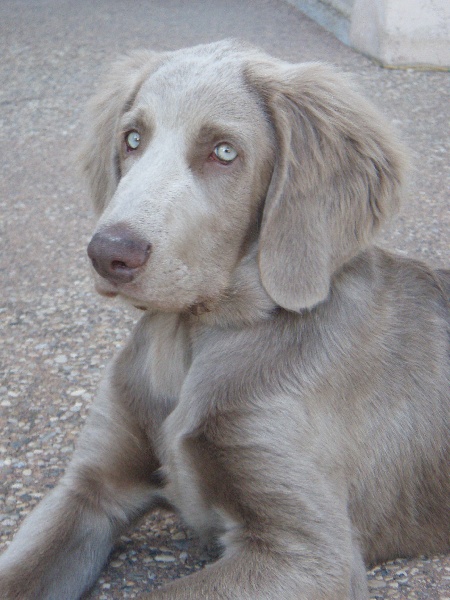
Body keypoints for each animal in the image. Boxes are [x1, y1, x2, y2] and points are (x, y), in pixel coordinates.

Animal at [0, 38, 448, 600]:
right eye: (132, 139)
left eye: (224, 152)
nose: (107, 253)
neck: (192, 339)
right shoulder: (89, 486)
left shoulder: (307, 553)